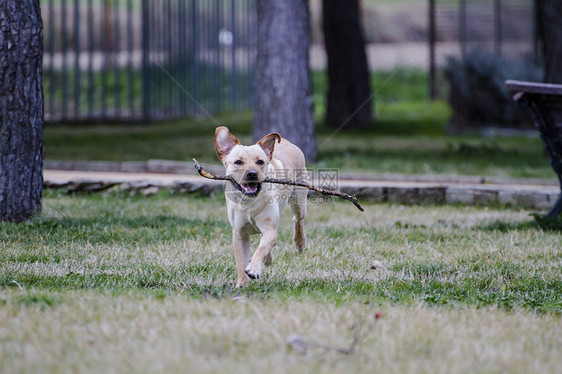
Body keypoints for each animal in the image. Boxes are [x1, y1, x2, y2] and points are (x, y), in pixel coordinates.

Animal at [212, 125, 306, 286]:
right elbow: (241, 261)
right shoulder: (239, 234)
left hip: (299, 200)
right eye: (238, 162)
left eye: (260, 162)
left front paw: (254, 269)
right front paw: (242, 284)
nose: (252, 174)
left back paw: (299, 243)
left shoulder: (270, 228)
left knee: (297, 219)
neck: (248, 202)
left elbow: (261, 248)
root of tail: (287, 141)